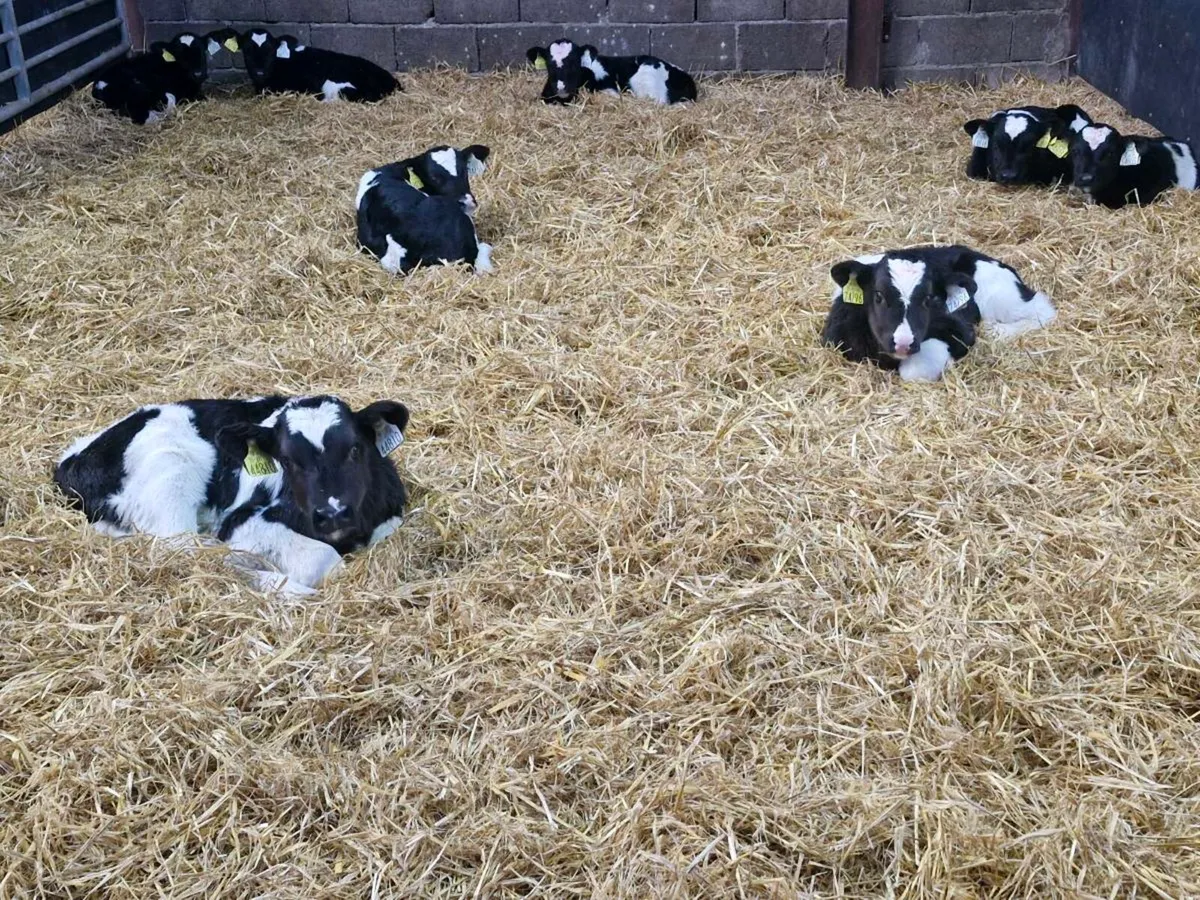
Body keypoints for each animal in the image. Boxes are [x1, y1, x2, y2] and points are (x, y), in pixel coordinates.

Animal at [54, 395, 410, 594]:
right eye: (287, 460)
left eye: (355, 449)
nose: (332, 513)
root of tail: (72, 460)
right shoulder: (242, 519)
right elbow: (323, 560)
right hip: (171, 466)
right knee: (184, 550)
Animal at [822, 245, 1056, 382]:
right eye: (878, 295)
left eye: (929, 298)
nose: (903, 343)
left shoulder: (961, 332)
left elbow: (915, 370)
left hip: (999, 296)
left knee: (1042, 309)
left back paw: (997, 330)